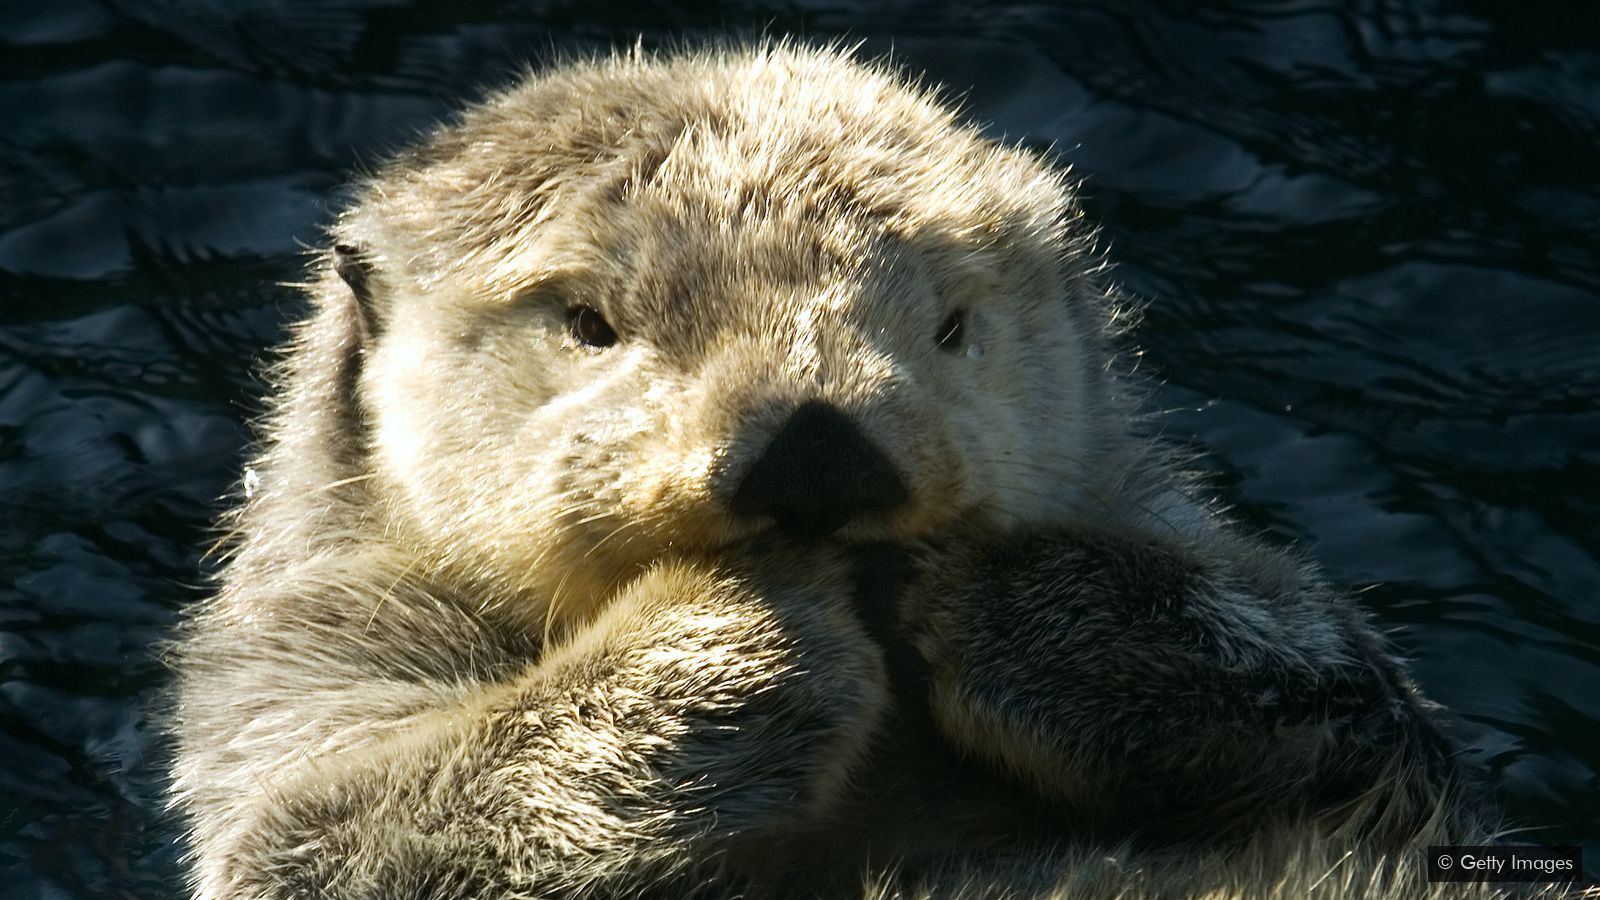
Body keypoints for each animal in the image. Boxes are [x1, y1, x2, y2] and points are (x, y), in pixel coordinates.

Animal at [168, 43, 1548, 899]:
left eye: (949, 323)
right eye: (591, 323)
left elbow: (1361, 704)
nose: (818, 447)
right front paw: (740, 639)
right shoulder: (301, 669)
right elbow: (326, 842)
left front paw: (1006, 611)